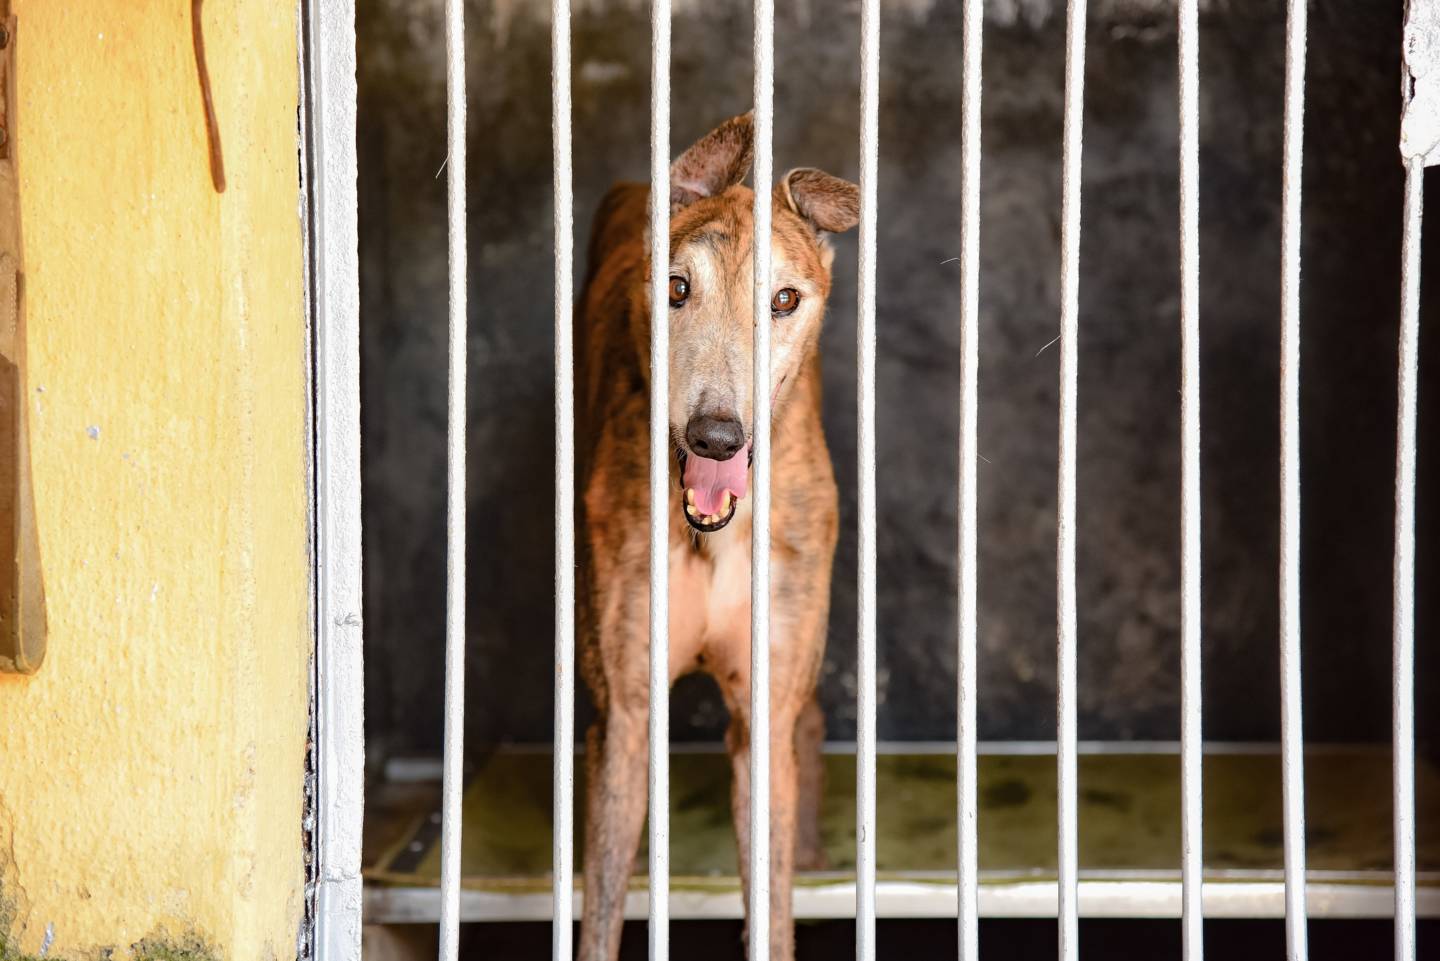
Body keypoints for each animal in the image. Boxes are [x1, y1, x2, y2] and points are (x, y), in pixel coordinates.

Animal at [576, 114, 852, 961]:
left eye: (784, 298)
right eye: (675, 288)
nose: (717, 436)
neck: (711, 531)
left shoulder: (763, 712)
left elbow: (772, 904)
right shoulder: (624, 718)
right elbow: (600, 910)